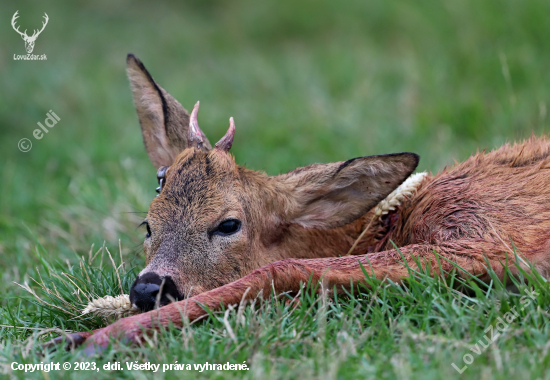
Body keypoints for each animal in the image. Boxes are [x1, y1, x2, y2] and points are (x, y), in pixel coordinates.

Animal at [47, 54, 550, 354]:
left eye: (228, 225)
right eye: (147, 225)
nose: (148, 288)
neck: (389, 221)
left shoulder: (485, 233)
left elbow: (280, 267)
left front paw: (86, 337)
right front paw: (98, 313)